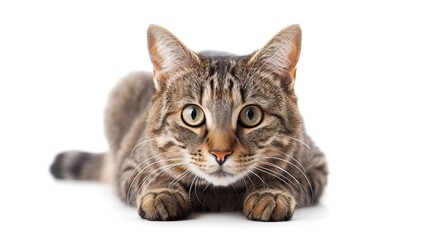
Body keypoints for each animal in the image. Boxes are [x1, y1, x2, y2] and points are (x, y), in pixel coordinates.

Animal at [51, 23, 330, 221]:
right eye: (193, 115)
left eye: (251, 115)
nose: (220, 153)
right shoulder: (130, 165)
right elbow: (152, 177)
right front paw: (162, 192)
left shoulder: (316, 166)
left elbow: (288, 178)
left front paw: (269, 192)